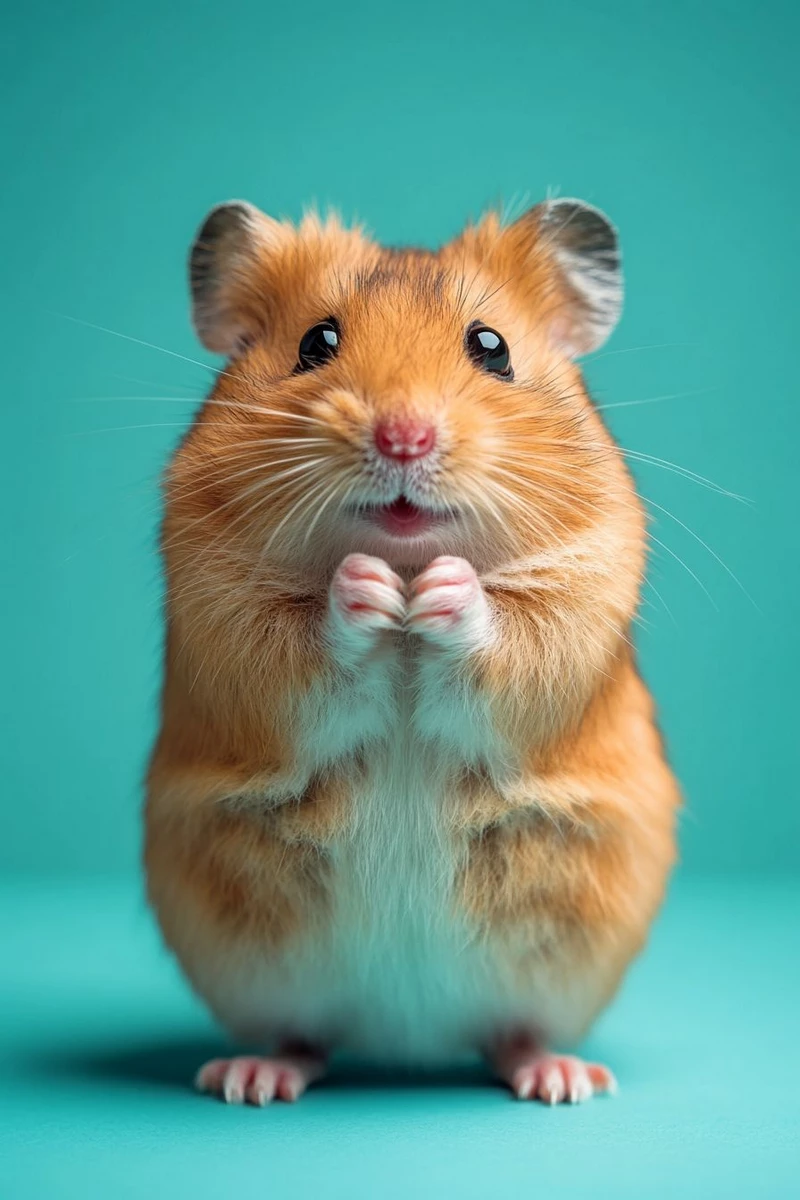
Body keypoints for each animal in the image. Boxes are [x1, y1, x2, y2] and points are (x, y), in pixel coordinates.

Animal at [145, 197, 680, 1106]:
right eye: (316, 342)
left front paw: (439, 592)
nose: (404, 437)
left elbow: (512, 630)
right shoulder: (220, 605)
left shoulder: (581, 594)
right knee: (304, 1038)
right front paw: (368, 590)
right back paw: (250, 1078)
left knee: (512, 1034)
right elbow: (301, 640)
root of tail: (406, 1038)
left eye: (491, 347)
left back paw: (563, 1079)